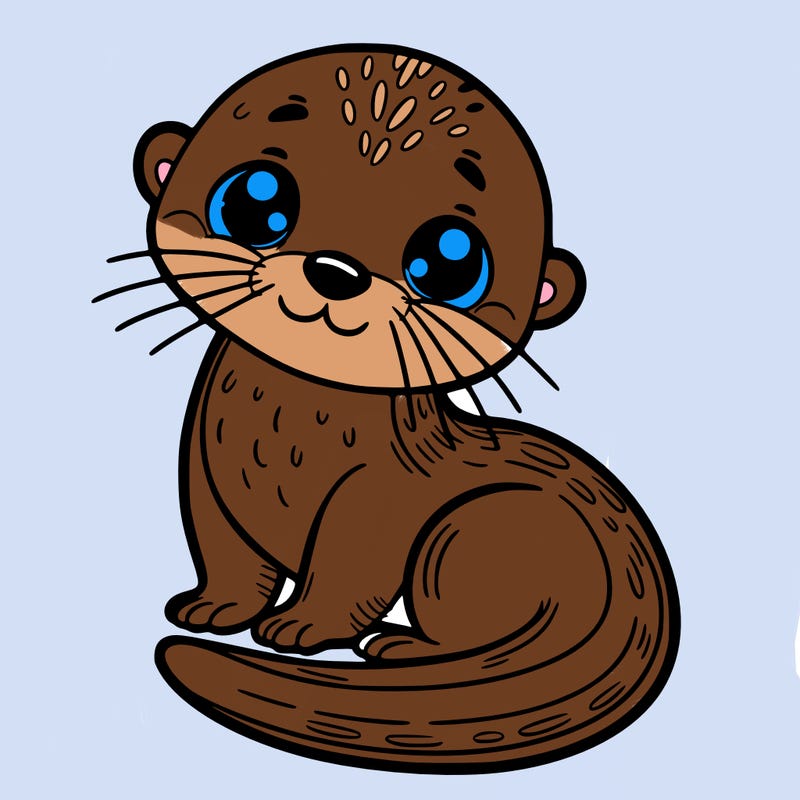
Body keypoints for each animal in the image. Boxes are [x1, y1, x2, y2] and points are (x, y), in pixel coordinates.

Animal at [99, 44, 679, 773]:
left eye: (450, 260)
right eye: (256, 200)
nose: (335, 270)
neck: (282, 439)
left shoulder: (378, 496)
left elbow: (351, 567)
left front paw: (301, 626)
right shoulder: (205, 469)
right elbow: (225, 550)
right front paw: (213, 607)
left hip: (469, 532)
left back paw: (401, 647)